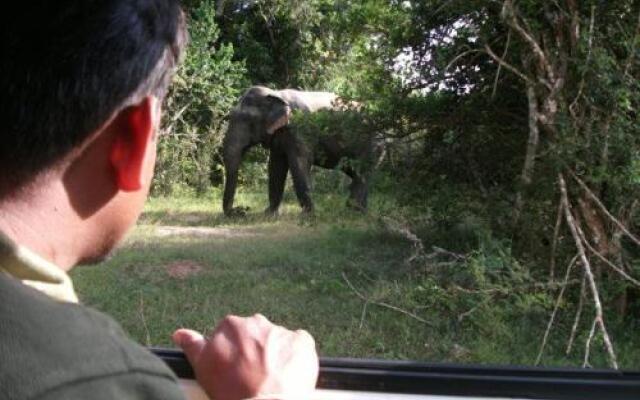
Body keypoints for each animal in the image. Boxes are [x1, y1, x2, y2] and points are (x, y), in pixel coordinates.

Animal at [220, 84, 382, 216]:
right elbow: (276, 166)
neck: (276, 94)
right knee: (356, 173)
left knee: (363, 172)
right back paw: (360, 212)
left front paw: (307, 215)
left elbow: (299, 162)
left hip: (373, 142)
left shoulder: (300, 129)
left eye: (248, 120)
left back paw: (352, 212)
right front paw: (269, 214)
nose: (242, 210)